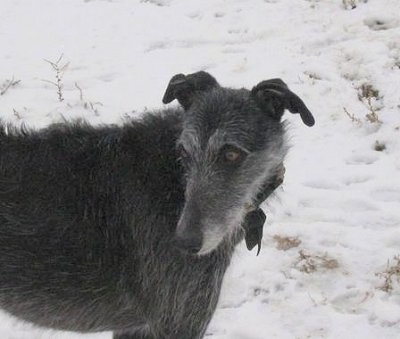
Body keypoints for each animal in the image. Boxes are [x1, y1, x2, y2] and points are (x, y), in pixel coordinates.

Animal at [0, 72, 312, 339]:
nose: (184, 243)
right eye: (183, 152)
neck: (174, 183)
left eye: (232, 154)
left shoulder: (138, 326)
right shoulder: (175, 320)